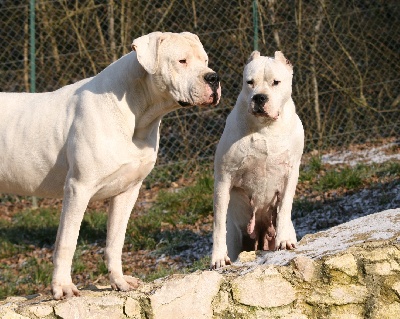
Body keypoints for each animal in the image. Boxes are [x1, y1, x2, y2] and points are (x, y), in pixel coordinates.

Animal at [0, 31, 222, 298]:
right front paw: (62, 286)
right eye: (182, 61)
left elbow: (115, 241)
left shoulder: (127, 192)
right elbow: (67, 242)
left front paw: (119, 281)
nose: (214, 77)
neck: (137, 112)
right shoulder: (78, 188)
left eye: (205, 60)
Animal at [211, 51, 302, 268]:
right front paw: (218, 257)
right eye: (249, 82)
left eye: (276, 82)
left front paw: (284, 240)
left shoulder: (291, 172)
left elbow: (284, 207)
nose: (259, 97)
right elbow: (218, 222)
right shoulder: (223, 179)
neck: (265, 127)